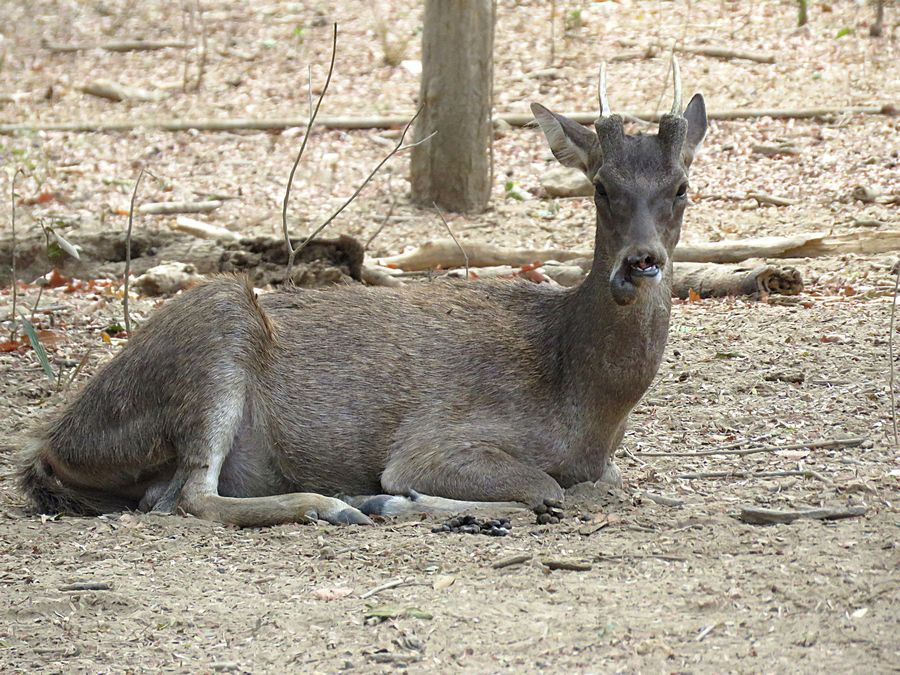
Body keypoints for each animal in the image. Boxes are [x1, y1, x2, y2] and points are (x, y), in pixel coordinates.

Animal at [17, 61, 707, 528]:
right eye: (600, 186)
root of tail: (54, 446)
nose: (641, 262)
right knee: (189, 498)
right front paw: (399, 495)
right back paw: (341, 503)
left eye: (681, 187)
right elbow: (545, 489)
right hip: (216, 327)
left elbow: (597, 486)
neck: (588, 404)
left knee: (166, 497)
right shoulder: (438, 442)